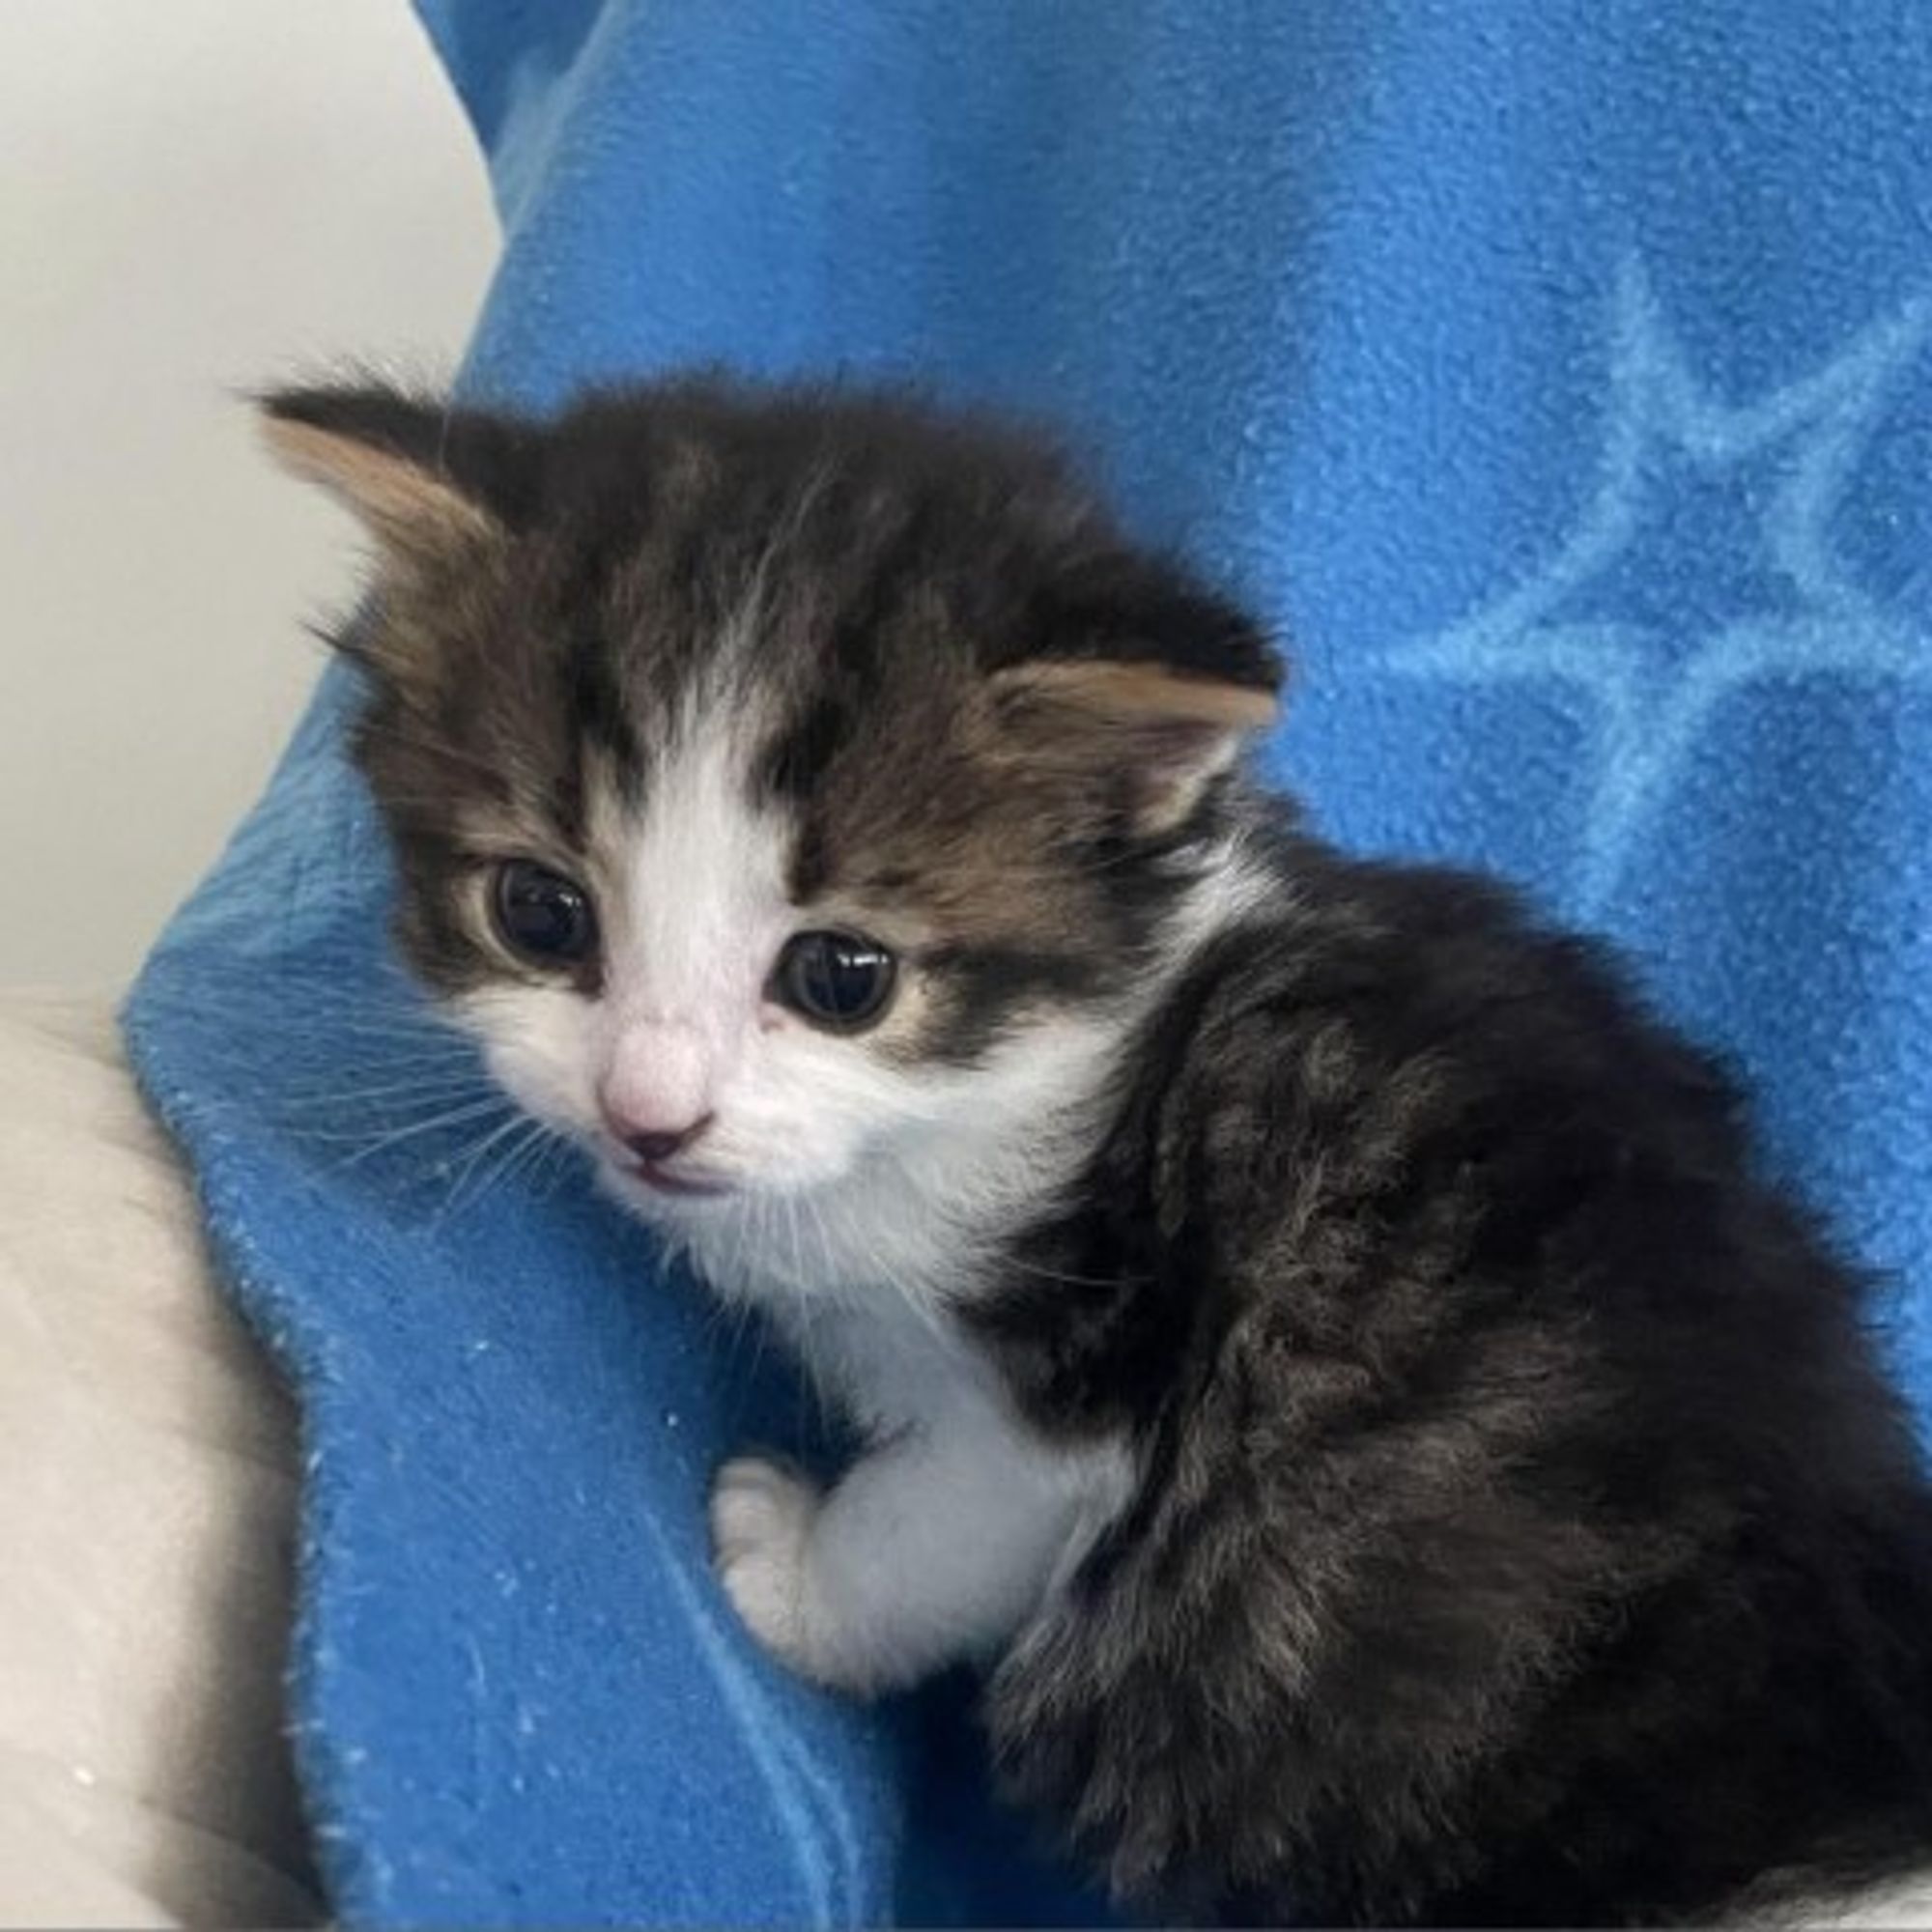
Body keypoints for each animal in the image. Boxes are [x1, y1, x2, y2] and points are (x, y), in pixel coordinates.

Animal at [257, 373, 1932, 1917]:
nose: (647, 1114)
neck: (1042, 1070)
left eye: (842, 976)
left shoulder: (1078, 1411)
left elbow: (929, 1532)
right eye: (538, 912)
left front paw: (789, 1575)